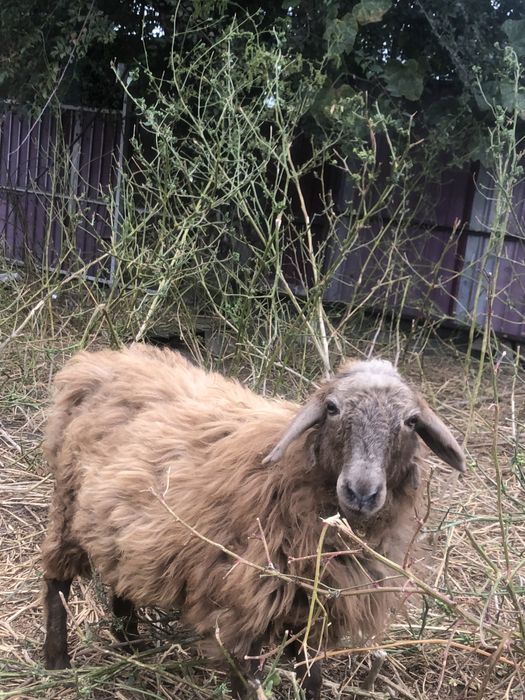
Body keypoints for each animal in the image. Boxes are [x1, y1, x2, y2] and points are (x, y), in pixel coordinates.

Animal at [41, 344, 465, 698]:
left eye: (411, 421)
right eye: (331, 408)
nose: (361, 491)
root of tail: (98, 361)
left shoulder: (318, 610)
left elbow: (312, 678)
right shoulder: (245, 609)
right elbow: (248, 683)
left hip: (122, 524)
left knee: (122, 575)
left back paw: (133, 644)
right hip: (67, 506)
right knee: (57, 579)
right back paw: (57, 661)